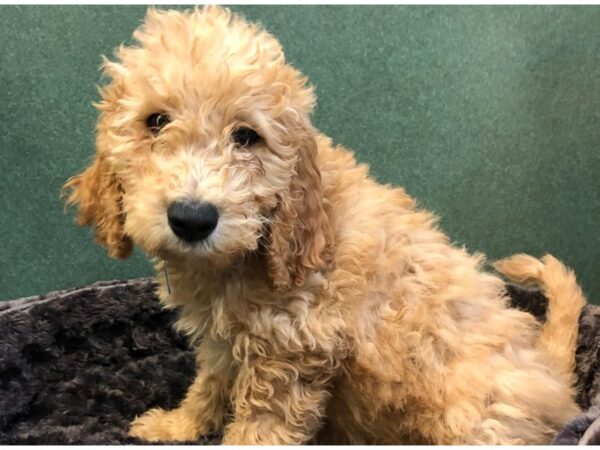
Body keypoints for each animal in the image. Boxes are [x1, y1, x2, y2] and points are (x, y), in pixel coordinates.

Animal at [63, 6, 588, 442]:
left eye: (247, 137)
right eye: (155, 121)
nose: (193, 218)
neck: (247, 257)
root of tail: (549, 371)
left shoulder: (293, 353)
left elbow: (261, 425)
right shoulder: (222, 339)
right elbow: (208, 383)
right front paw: (178, 425)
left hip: (475, 415)